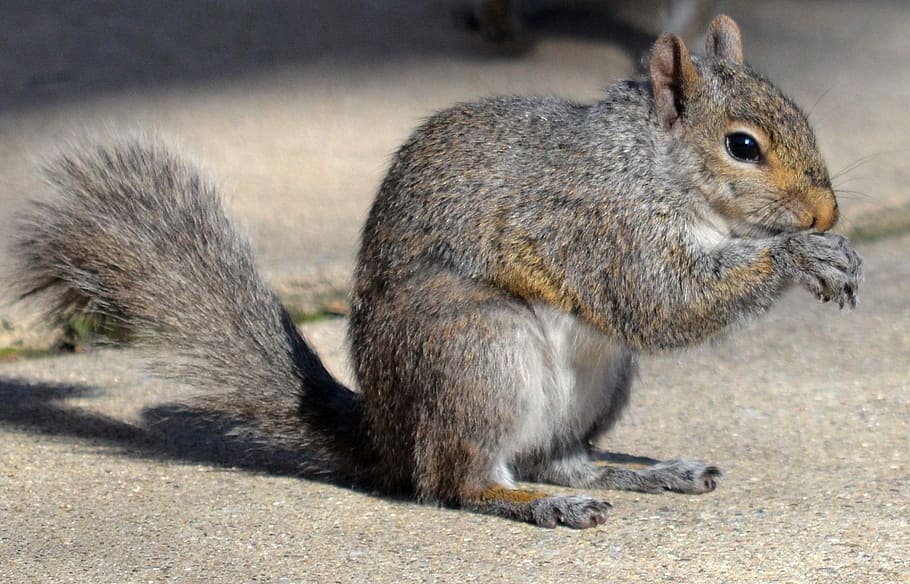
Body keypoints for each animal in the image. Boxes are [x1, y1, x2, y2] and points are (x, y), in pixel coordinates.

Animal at [8, 16, 864, 528]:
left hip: (596, 380)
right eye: (743, 146)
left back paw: (648, 475)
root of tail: (386, 433)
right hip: (477, 349)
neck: (647, 164)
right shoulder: (593, 224)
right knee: (457, 480)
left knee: (559, 458)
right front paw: (801, 256)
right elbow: (659, 301)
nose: (826, 214)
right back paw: (536, 506)